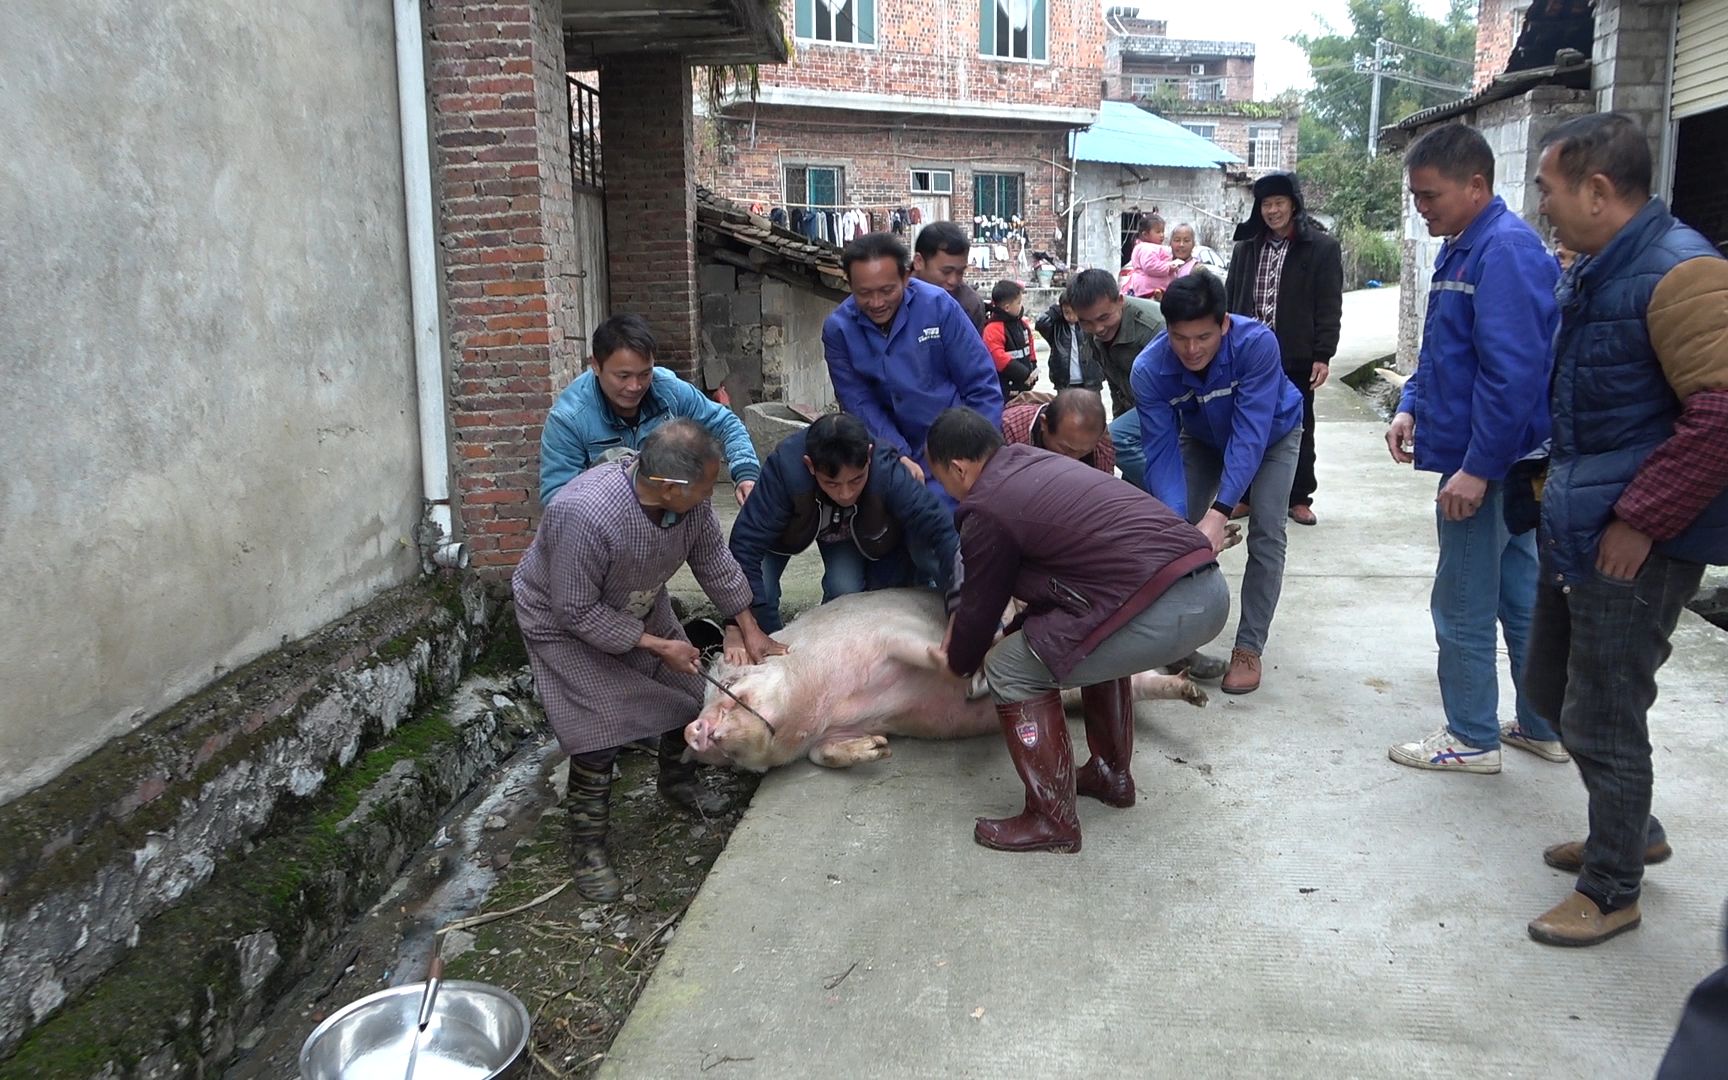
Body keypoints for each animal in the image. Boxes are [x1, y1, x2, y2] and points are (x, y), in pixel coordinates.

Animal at [680, 584, 1209, 770]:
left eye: (730, 689)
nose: (691, 731)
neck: (830, 699)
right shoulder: (831, 731)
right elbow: (821, 753)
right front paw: (878, 750)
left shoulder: (889, 632)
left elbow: (925, 650)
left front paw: (971, 674)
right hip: (1081, 690)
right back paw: (1194, 692)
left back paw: (1198, 688)